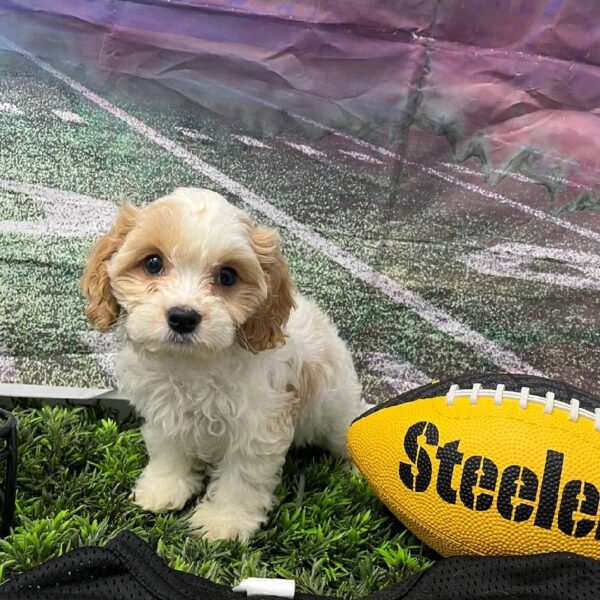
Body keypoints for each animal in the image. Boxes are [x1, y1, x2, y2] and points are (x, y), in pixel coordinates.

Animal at [81, 189, 366, 544]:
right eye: (153, 263)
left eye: (228, 276)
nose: (183, 317)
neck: (195, 363)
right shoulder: (165, 408)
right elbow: (168, 449)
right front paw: (163, 488)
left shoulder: (258, 425)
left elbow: (242, 476)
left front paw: (224, 521)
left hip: (335, 411)